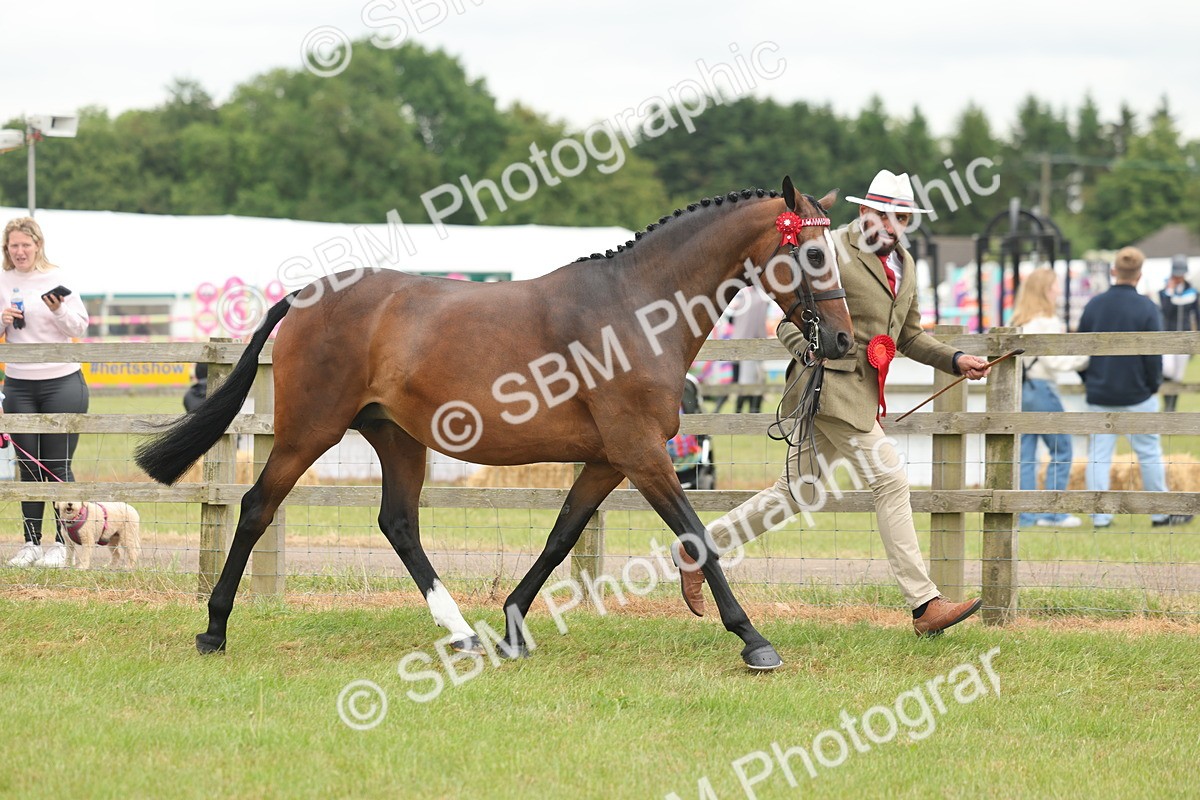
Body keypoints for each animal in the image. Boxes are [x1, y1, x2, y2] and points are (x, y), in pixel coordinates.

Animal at [135, 177, 852, 670]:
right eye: (813, 254)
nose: (844, 340)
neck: (634, 308)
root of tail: (308, 296)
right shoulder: (640, 453)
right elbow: (697, 535)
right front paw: (753, 638)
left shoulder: (607, 458)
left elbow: (561, 537)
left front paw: (511, 626)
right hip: (308, 432)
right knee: (257, 506)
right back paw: (214, 628)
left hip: (397, 438)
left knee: (398, 524)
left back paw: (459, 631)